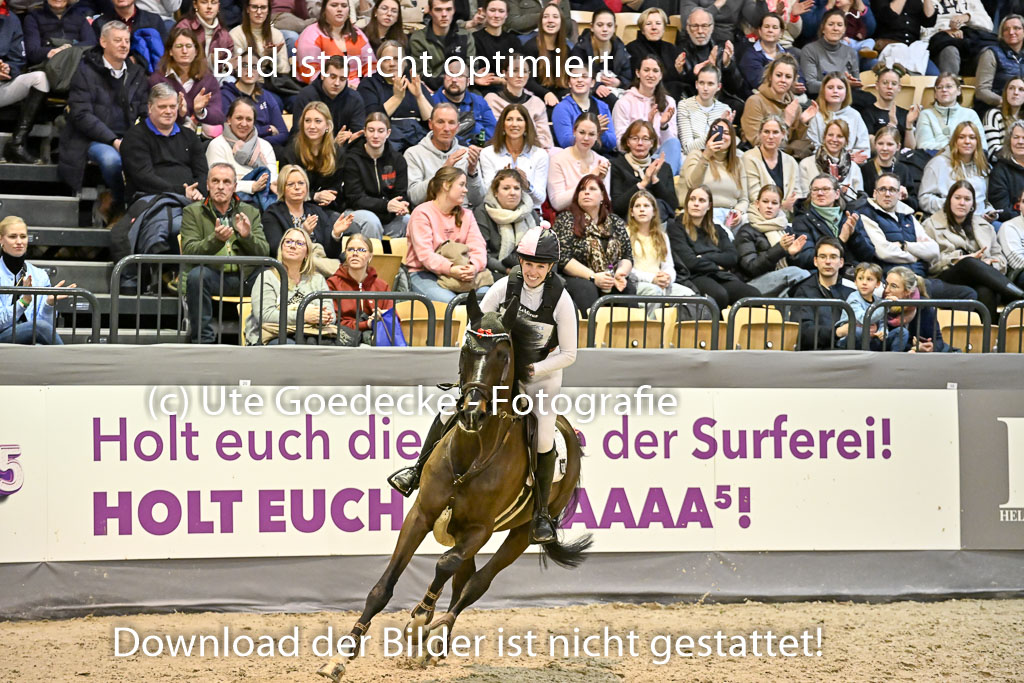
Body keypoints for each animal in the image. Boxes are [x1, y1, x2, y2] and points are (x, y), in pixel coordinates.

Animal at [317, 290, 592, 680]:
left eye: (503, 353)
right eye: (466, 349)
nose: (472, 412)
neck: (472, 453)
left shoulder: (480, 529)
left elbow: (444, 565)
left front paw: (420, 619)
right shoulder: (422, 513)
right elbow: (384, 586)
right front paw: (342, 656)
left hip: (519, 534)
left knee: (476, 583)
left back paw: (436, 633)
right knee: (466, 578)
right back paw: (435, 645)